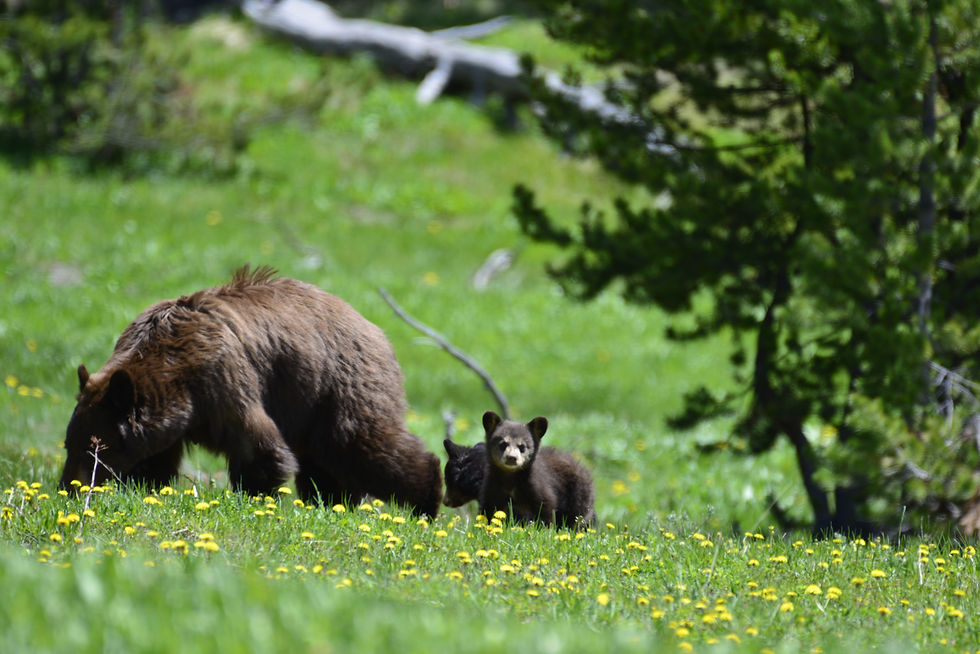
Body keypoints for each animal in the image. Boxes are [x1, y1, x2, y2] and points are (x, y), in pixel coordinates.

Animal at [60, 265, 443, 517]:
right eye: (69, 444)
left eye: (95, 449)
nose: (68, 488)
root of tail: (376, 330)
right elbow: (155, 460)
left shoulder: (222, 379)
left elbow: (258, 444)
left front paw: (255, 497)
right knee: (325, 461)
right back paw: (331, 503)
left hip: (338, 383)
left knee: (362, 443)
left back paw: (426, 500)